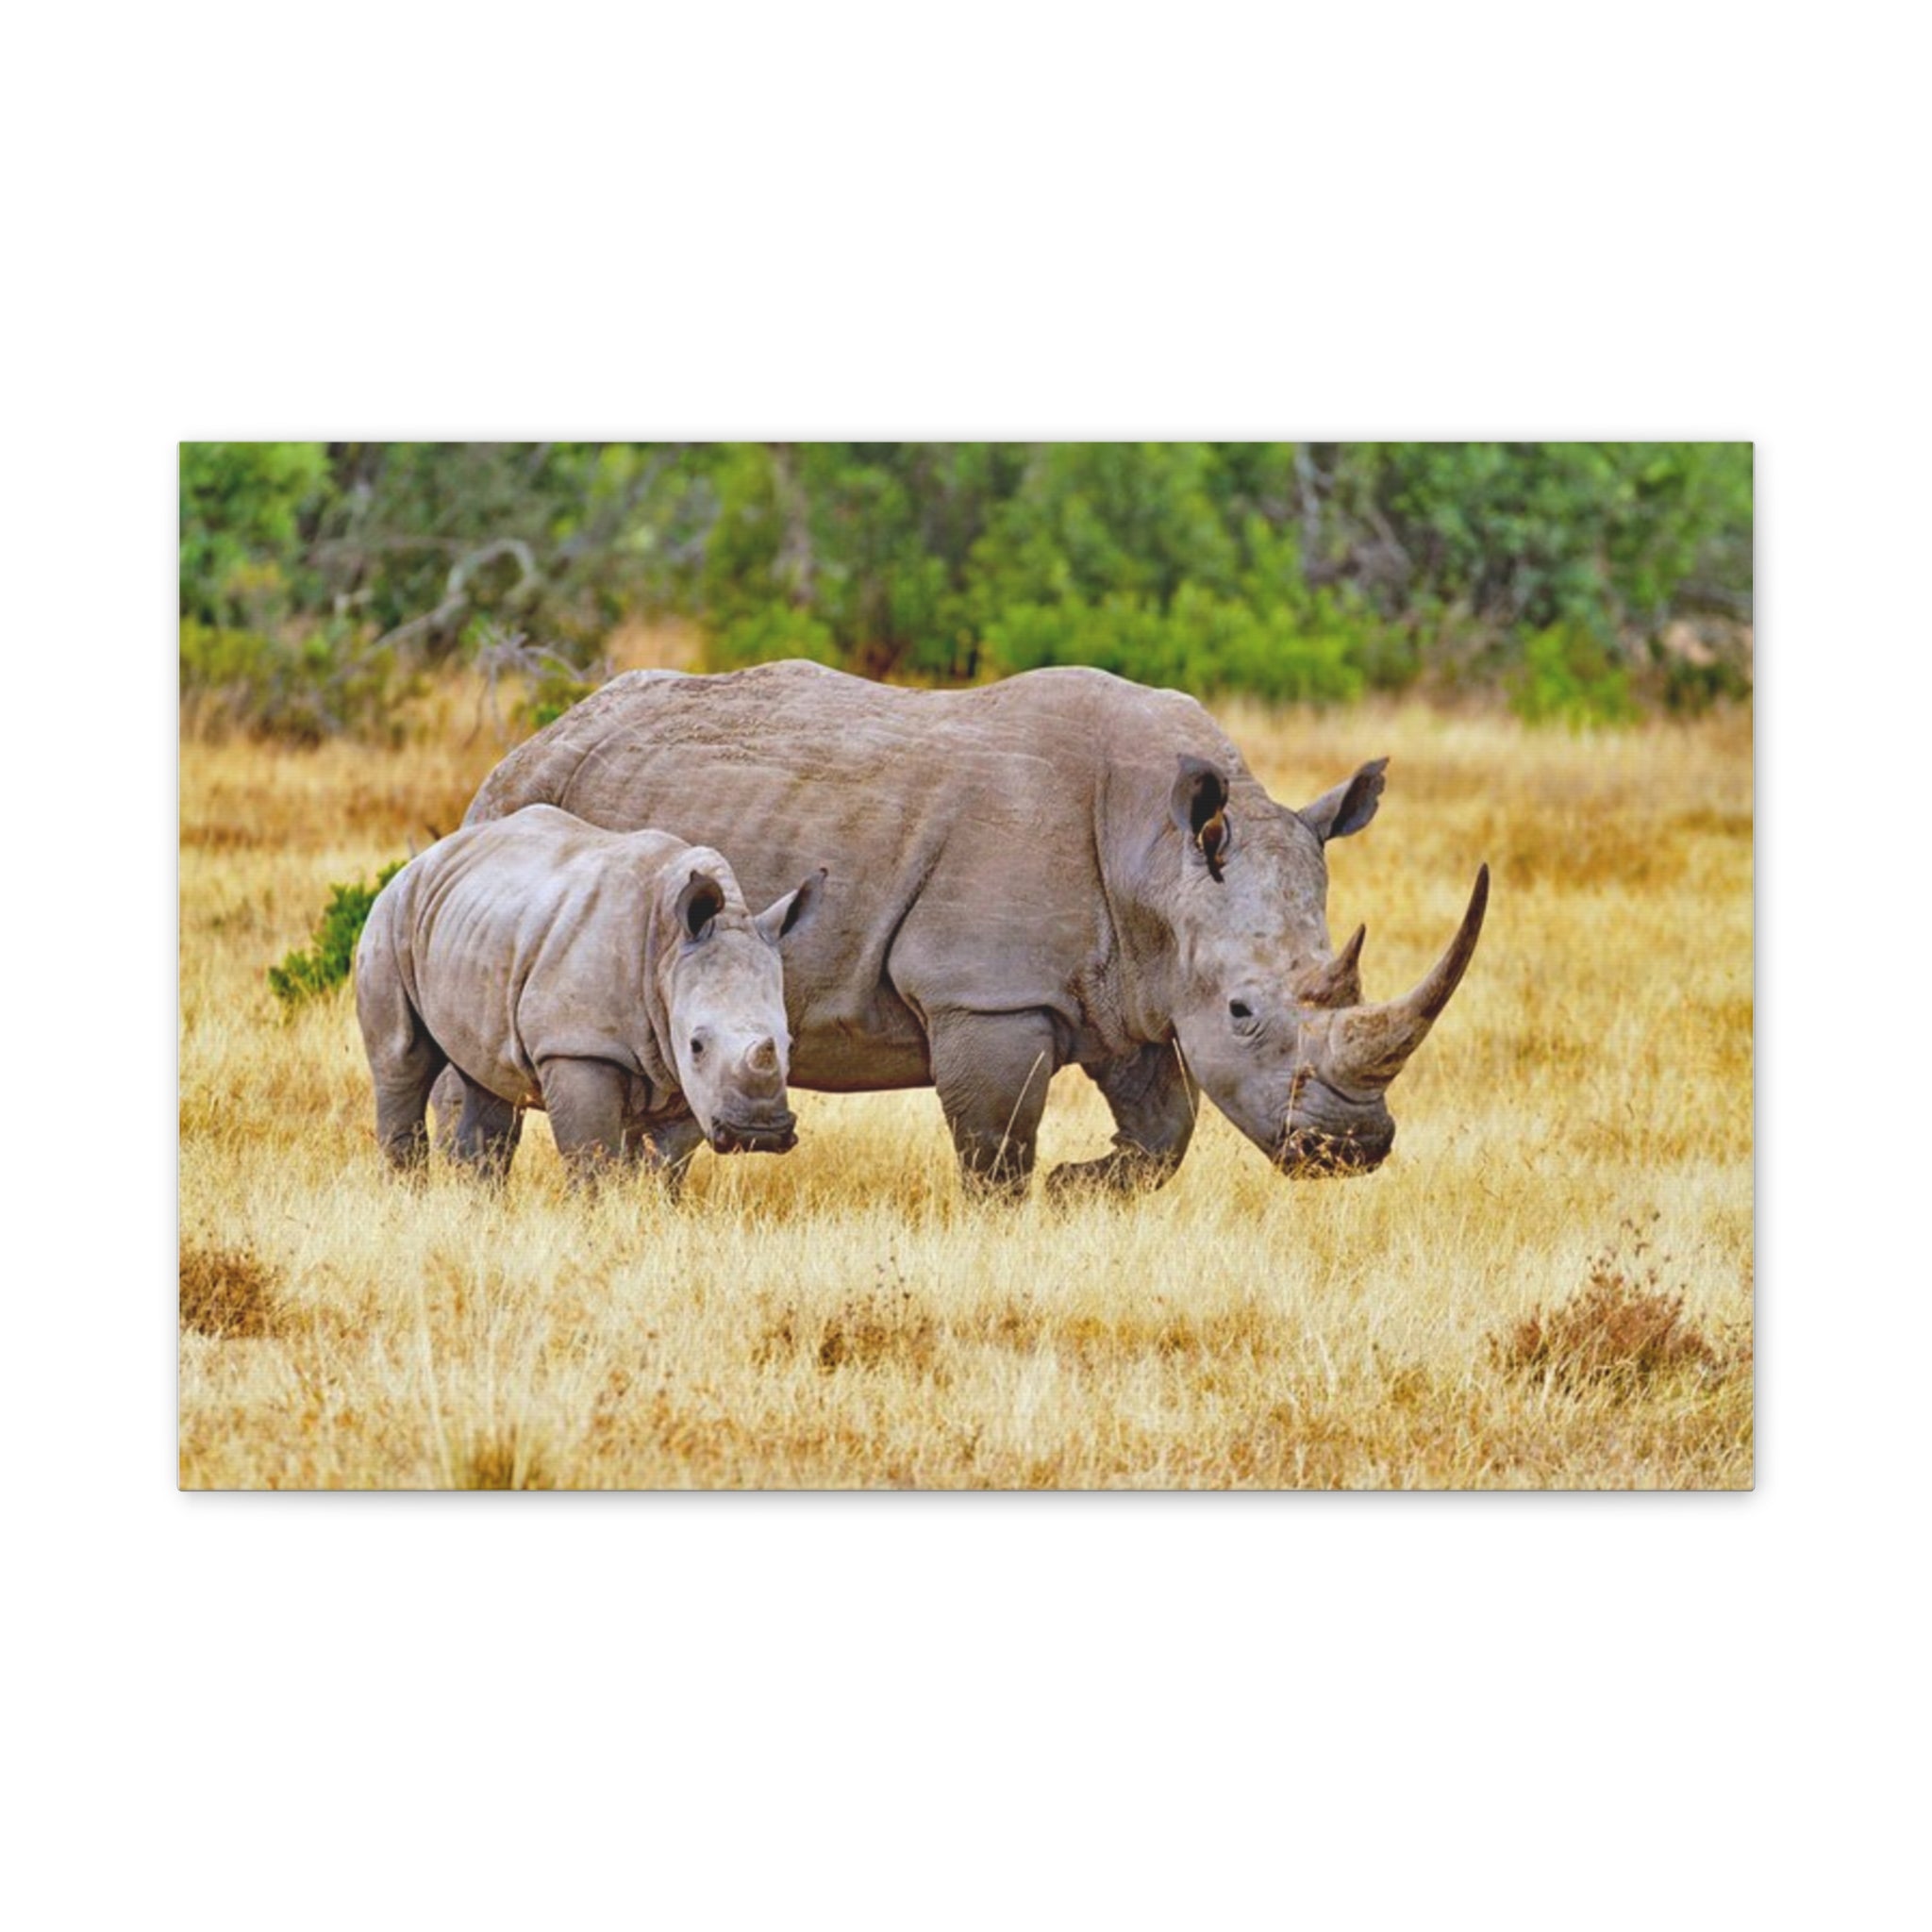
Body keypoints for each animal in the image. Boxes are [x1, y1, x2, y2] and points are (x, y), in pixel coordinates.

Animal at [356, 803, 822, 1181]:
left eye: (789, 1044)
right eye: (696, 1045)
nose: (757, 1133)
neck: (669, 949)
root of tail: (428, 857)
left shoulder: (688, 1076)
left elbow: (665, 1164)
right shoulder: (578, 1045)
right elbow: (591, 1157)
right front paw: (593, 1216)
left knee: (488, 1080)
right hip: (391, 914)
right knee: (402, 1061)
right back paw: (406, 1194)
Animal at [436, 661, 1487, 1198]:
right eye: (1241, 1011)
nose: (1350, 1149)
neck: (1157, 856)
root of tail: (531, 738)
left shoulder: (1129, 985)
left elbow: (1166, 1132)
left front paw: (1079, 1184)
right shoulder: (986, 993)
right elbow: (995, 1140)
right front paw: (1019, 1207)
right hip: (516, 810)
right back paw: (465, 1192)